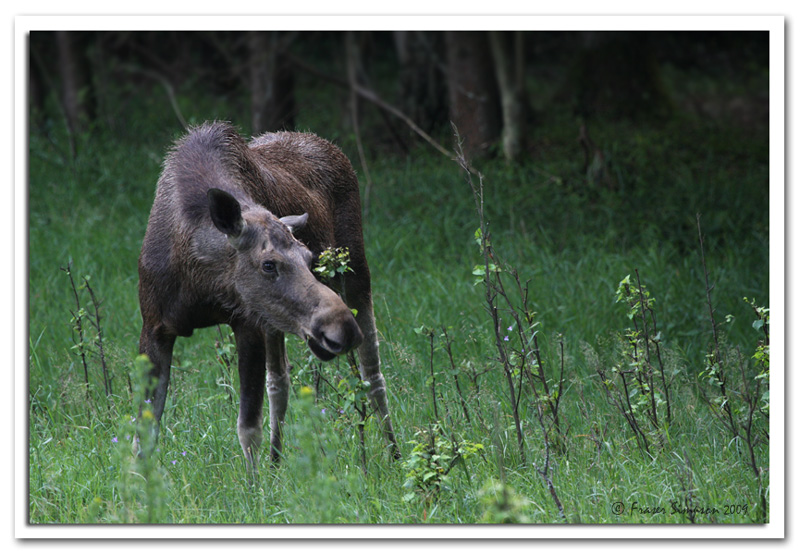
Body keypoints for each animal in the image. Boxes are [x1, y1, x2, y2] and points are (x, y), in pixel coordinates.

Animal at [140, 122, 400, 474]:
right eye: (268, 264)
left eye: (309, 257)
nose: (342, 327)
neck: (200, 277)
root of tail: (331, 147)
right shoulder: (154, 328)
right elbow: (146, 431)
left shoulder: (247, 323)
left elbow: (248, 427)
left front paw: (255, 487)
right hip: (279, 322)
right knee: (280, 380)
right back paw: (277, 463)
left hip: (356, 274)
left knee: (372, 372)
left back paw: (395, 454)